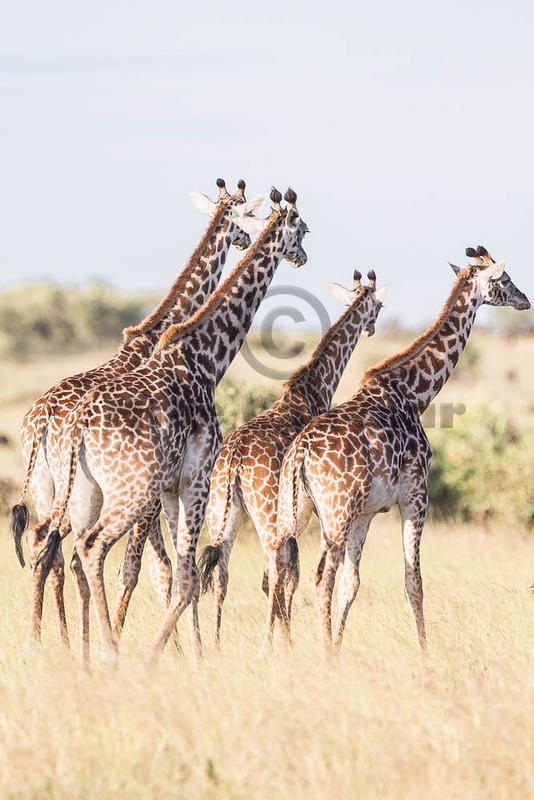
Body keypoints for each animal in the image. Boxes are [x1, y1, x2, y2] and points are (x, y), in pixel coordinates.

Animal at [35, 186, 308, 664]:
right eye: (304, 229)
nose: (304, 257)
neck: (203, 357)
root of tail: (51, 420)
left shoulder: (168, 489)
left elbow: (173, 571)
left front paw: (186, 651)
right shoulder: (191, 478)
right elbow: (170, 572)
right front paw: (180, 654)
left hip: (73, 492)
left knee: (52, 548)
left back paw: (62, 647)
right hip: (124, 490)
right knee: (86, 550)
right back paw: (103, 651)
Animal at [199, 272, 388, 648]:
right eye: (380, 304)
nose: (372, 327)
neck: (314, 389)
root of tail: (234, 460)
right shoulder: (309, 513)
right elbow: (293, 575)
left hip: (223, 512)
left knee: (220, 571)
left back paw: (214, 646)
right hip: (268, 515)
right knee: (270, 573)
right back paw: (270, 644)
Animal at [274, 247, 528, 652]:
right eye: (504, 279)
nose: (525, 300)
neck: (414, 394)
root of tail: (299, 454)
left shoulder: (367, 512)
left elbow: (352, 584)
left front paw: (343, 647)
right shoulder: (415, 495)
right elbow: (414, 580)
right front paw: (424, 651)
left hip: (294, 512)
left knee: (282, 569)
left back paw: (284, 648)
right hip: (335, 512)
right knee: (319, 574)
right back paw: (322, 652)